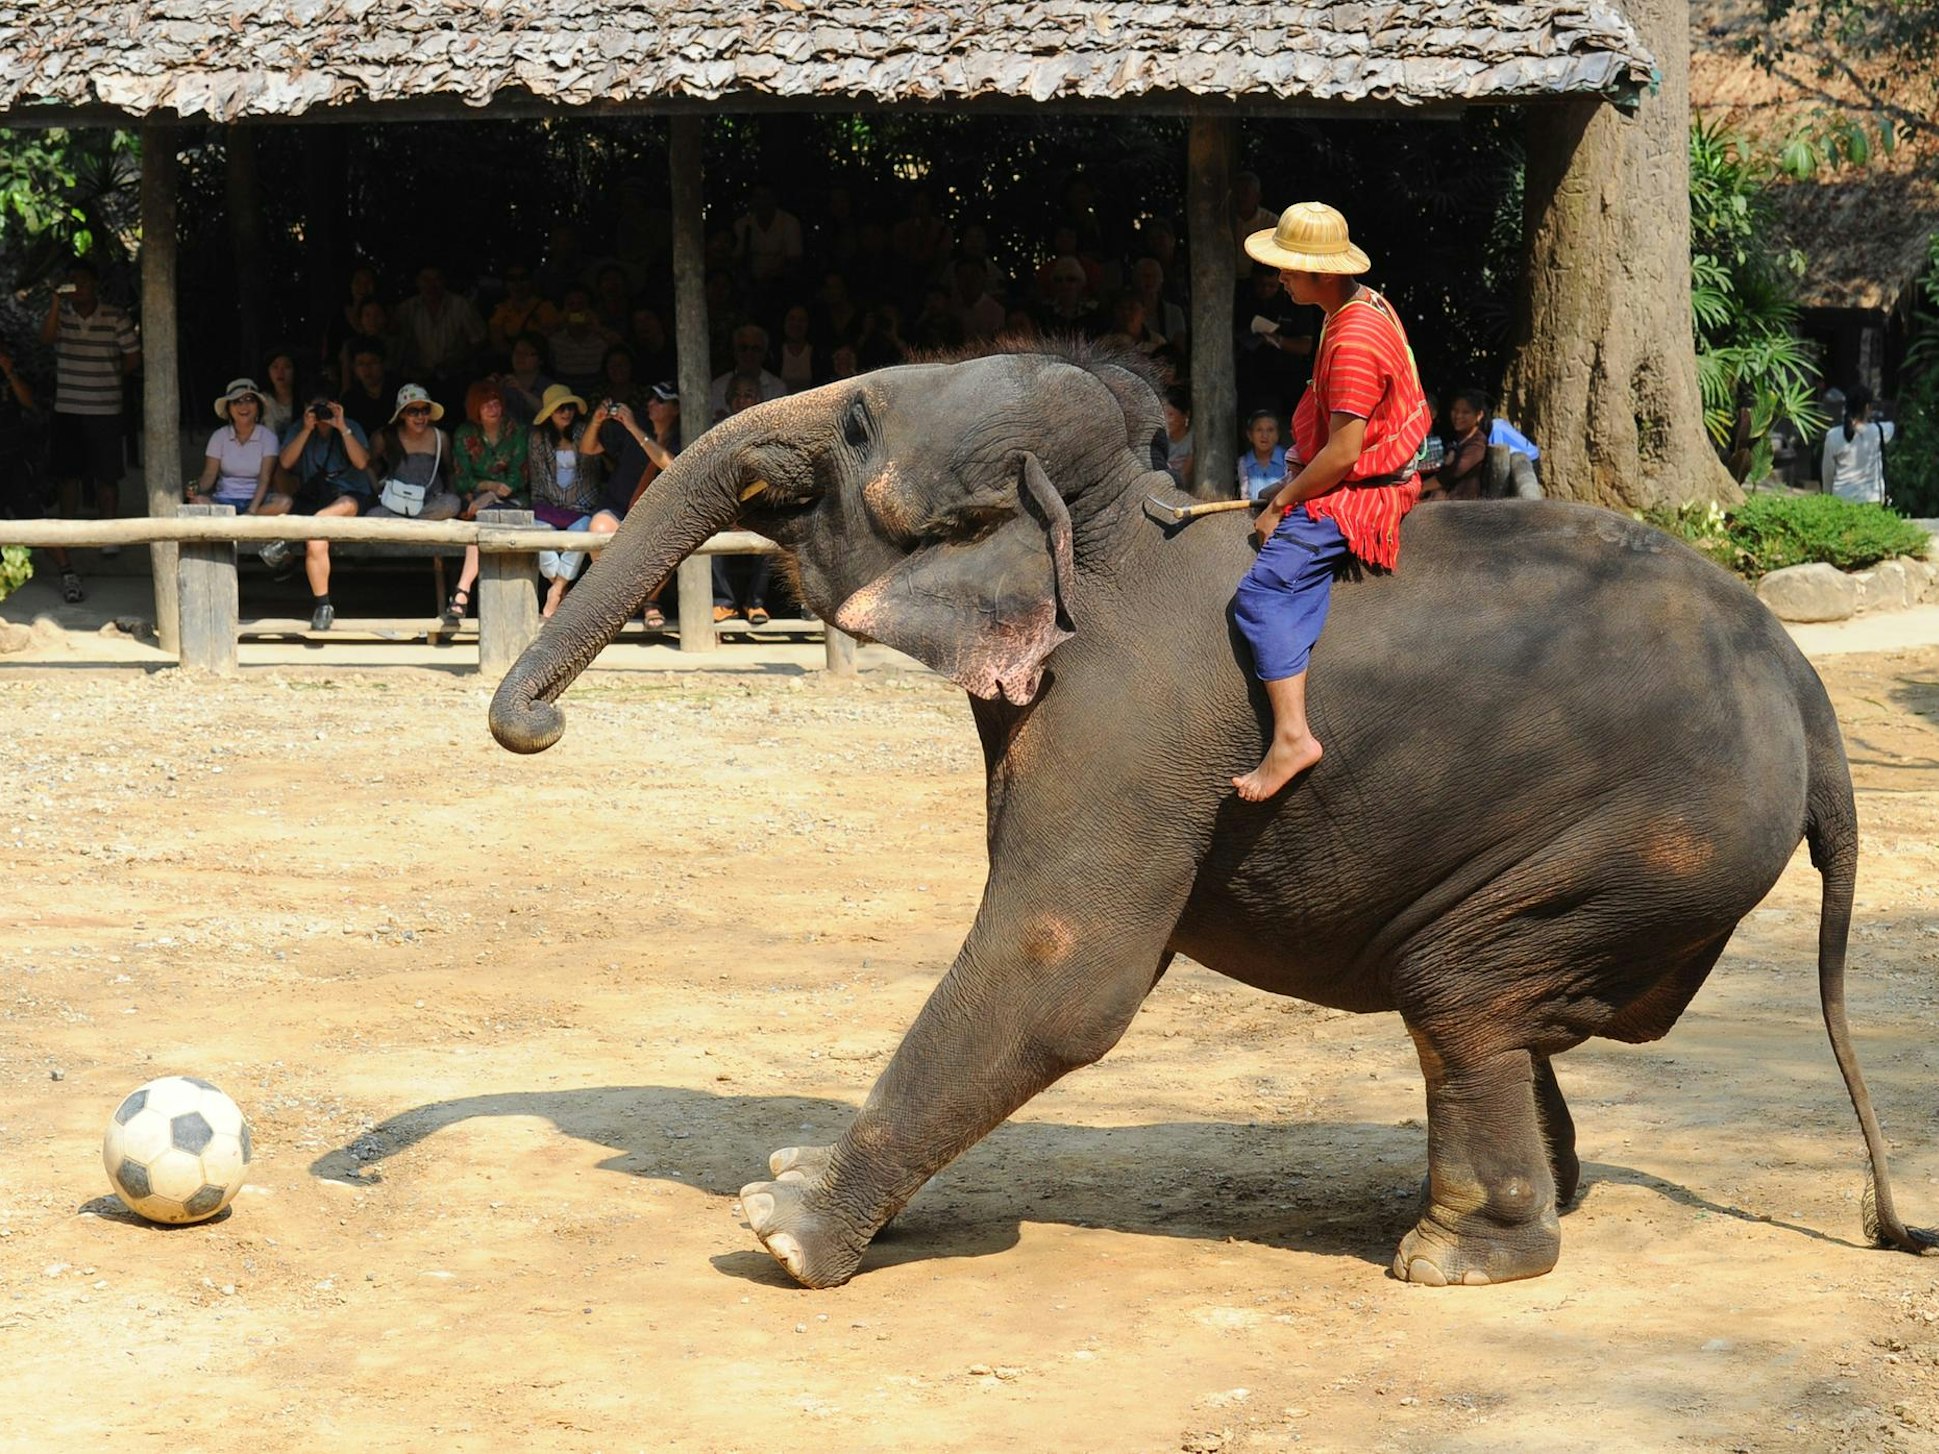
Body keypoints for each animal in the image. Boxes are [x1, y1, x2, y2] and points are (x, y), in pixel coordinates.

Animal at [490, 340, 1934, 1289]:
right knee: (1503, 1006)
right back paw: (1527, 1193)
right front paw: (794, 1180)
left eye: (852, 424)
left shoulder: (1129, 722)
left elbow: (1058, 970)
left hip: (1643, 833)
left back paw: (1449, 1254)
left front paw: (782, 1229)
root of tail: (1806, 693)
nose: (536, 727)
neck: (1109, 522)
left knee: (1459, 990)